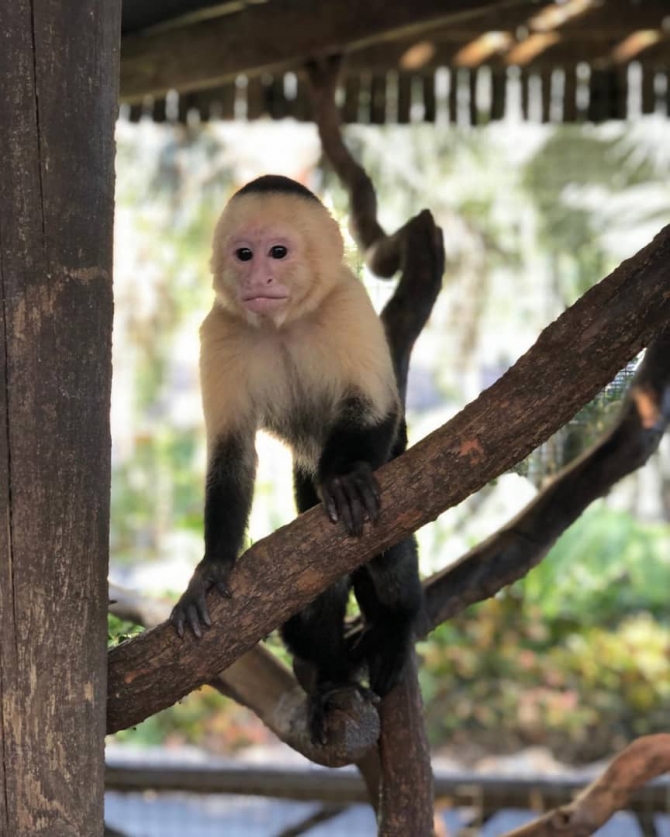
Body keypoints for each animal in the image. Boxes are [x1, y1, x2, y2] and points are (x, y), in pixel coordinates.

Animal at [170, 174, 423, 743]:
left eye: (278, 253)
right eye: (244, 253)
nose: (258, 276)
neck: (285, 322)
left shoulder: (349, 306)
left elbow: (371, 406)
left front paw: (346, 479)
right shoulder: (220, 330)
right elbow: (232, 454)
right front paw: (213, 566)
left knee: (386, 543)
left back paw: (394, 627)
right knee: (317, 573)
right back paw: (329, 675)